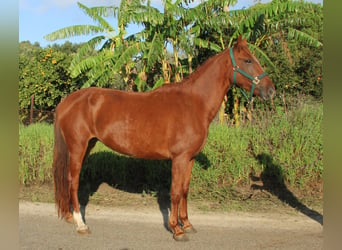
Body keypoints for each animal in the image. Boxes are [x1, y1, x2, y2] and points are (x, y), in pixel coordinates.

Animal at [52, 36, 276, 241]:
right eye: (248, 60)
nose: (271, 90)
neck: (194, 103)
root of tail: (67, 102)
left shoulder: (190, 158)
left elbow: (184, 190)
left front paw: (187, 224)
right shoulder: (179, 158)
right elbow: (175, 192)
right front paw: (176, 230)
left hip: (88, 145)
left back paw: (70, 216)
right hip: (78, 147)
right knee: (72, 181)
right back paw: (81, 224)